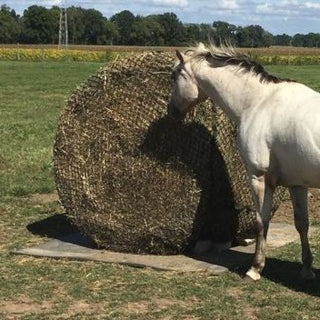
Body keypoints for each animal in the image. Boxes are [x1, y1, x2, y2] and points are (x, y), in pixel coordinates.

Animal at [168, 42, 320, 280]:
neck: (258, 102)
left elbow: (261, 221)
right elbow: (302, 223)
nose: (172, 111)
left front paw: (255, 269)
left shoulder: (258, 177)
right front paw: (306, 269)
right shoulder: (297, 184)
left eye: (174, 75)